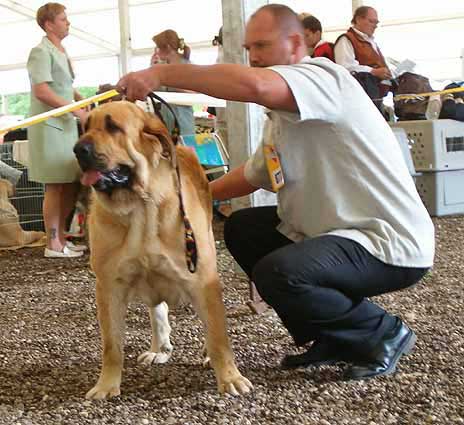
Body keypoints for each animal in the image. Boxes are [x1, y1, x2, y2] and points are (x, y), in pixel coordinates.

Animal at [74, 101, 252, 400]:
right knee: (157, 311)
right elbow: (112, 345)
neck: (140, 207)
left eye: (113, 127)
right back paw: (159, 348)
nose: (78, 149)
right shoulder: (109, 287)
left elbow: (218, 336)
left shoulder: (202, 280)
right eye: (85, 127)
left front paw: (230, 378)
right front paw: (106, 385)